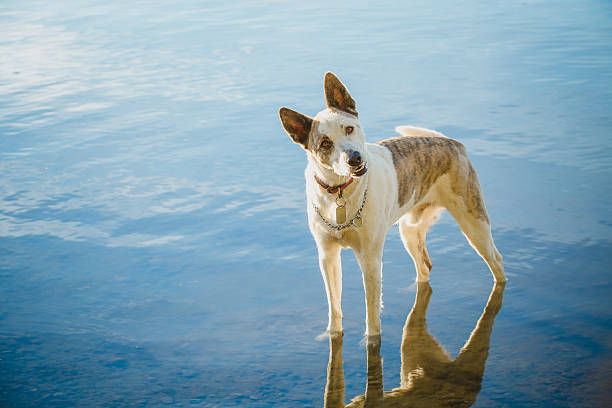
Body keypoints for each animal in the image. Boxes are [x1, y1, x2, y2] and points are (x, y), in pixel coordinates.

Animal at [280, 71, 504, 336]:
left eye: (349, 128)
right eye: (325, 143)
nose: (355, 159)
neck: (340, 194)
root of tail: (451, 142)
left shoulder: (370, 259)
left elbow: (372, 317)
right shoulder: (327, 256)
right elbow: (335, 309)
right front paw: (332, 333)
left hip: (474, 224)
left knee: (497, 263)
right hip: (409, 230)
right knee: (424, 267)